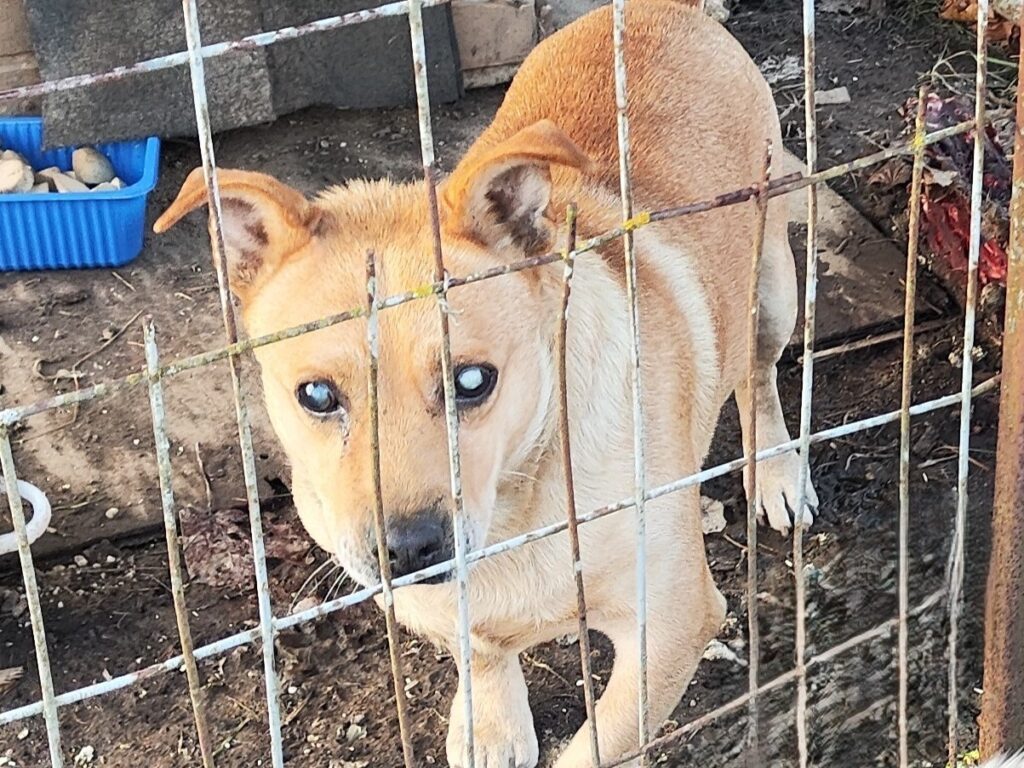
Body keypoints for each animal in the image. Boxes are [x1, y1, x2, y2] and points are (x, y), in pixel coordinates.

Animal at [155, 3, 815, 765]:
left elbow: (594, 747)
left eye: (473, 380)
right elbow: (478, 648)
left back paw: (777, 473)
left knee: (757, 375)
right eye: (316, 395)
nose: (408, 550)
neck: (515, 510)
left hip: (772, 290)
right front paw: (492, 723)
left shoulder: (672, 626)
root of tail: (663, 11)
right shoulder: (428, 601)